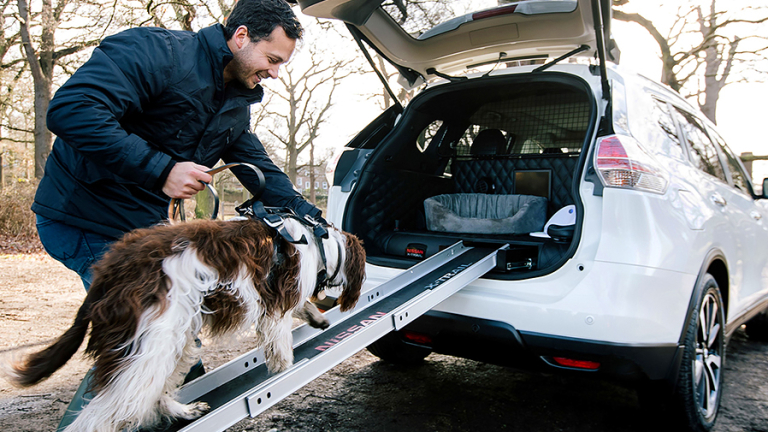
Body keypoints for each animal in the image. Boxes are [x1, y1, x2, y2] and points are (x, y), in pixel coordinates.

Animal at [3, 218, 364, 430]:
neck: (318, 244)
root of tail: (109, 269)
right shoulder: (275, 305)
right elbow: (281, 346)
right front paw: (286, 369)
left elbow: (300, 309)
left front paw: (317, 317)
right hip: (151, 340)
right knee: (106, 410)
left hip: (174, 336)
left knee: (152, 391)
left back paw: (183, 411)